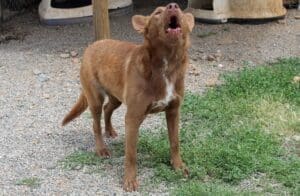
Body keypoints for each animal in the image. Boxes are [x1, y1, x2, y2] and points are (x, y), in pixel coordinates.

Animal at [62, 3, 196, 192]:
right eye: (157, 12)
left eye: (181, 12)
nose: (173, 6)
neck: (166, 65)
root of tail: (93, 45)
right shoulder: (133, 117)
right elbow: (131, 154)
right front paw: (130, 180)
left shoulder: (173, 112)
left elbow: (175, 142)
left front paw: (178, 166)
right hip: (95, 99)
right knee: (96, 123)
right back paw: (101, 149)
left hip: (116, 98)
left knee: (108, 109)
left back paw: (110, 131)